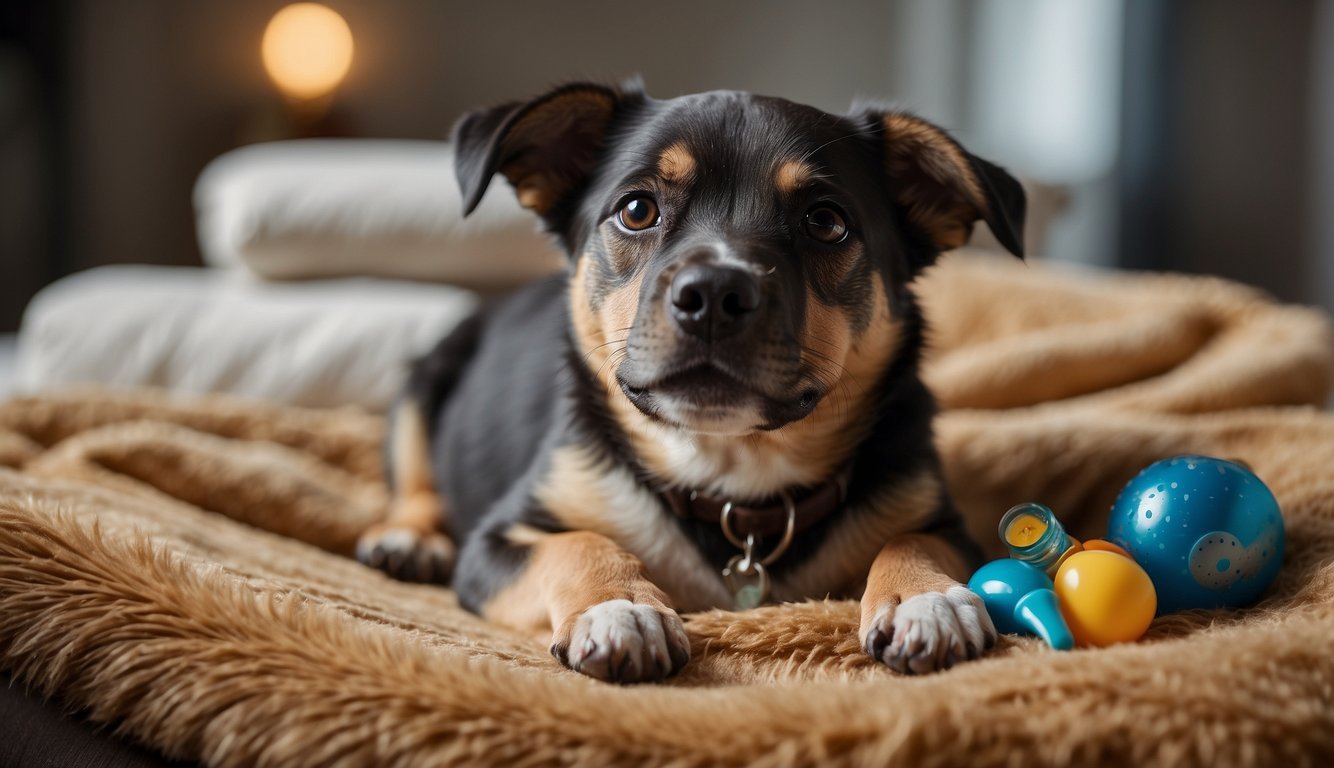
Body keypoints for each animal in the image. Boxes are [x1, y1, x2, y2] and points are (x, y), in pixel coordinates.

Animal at [354, 82, 1019, 682]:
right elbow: (580, 543)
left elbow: (911, 541)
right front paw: (619, 608)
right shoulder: (498, 540)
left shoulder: (943, 521)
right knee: (415, 483)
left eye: (826, 222)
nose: (715, 295)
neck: (731, 474)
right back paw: (408, 540)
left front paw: (925, 599)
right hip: (422, 385)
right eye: (636, 210)